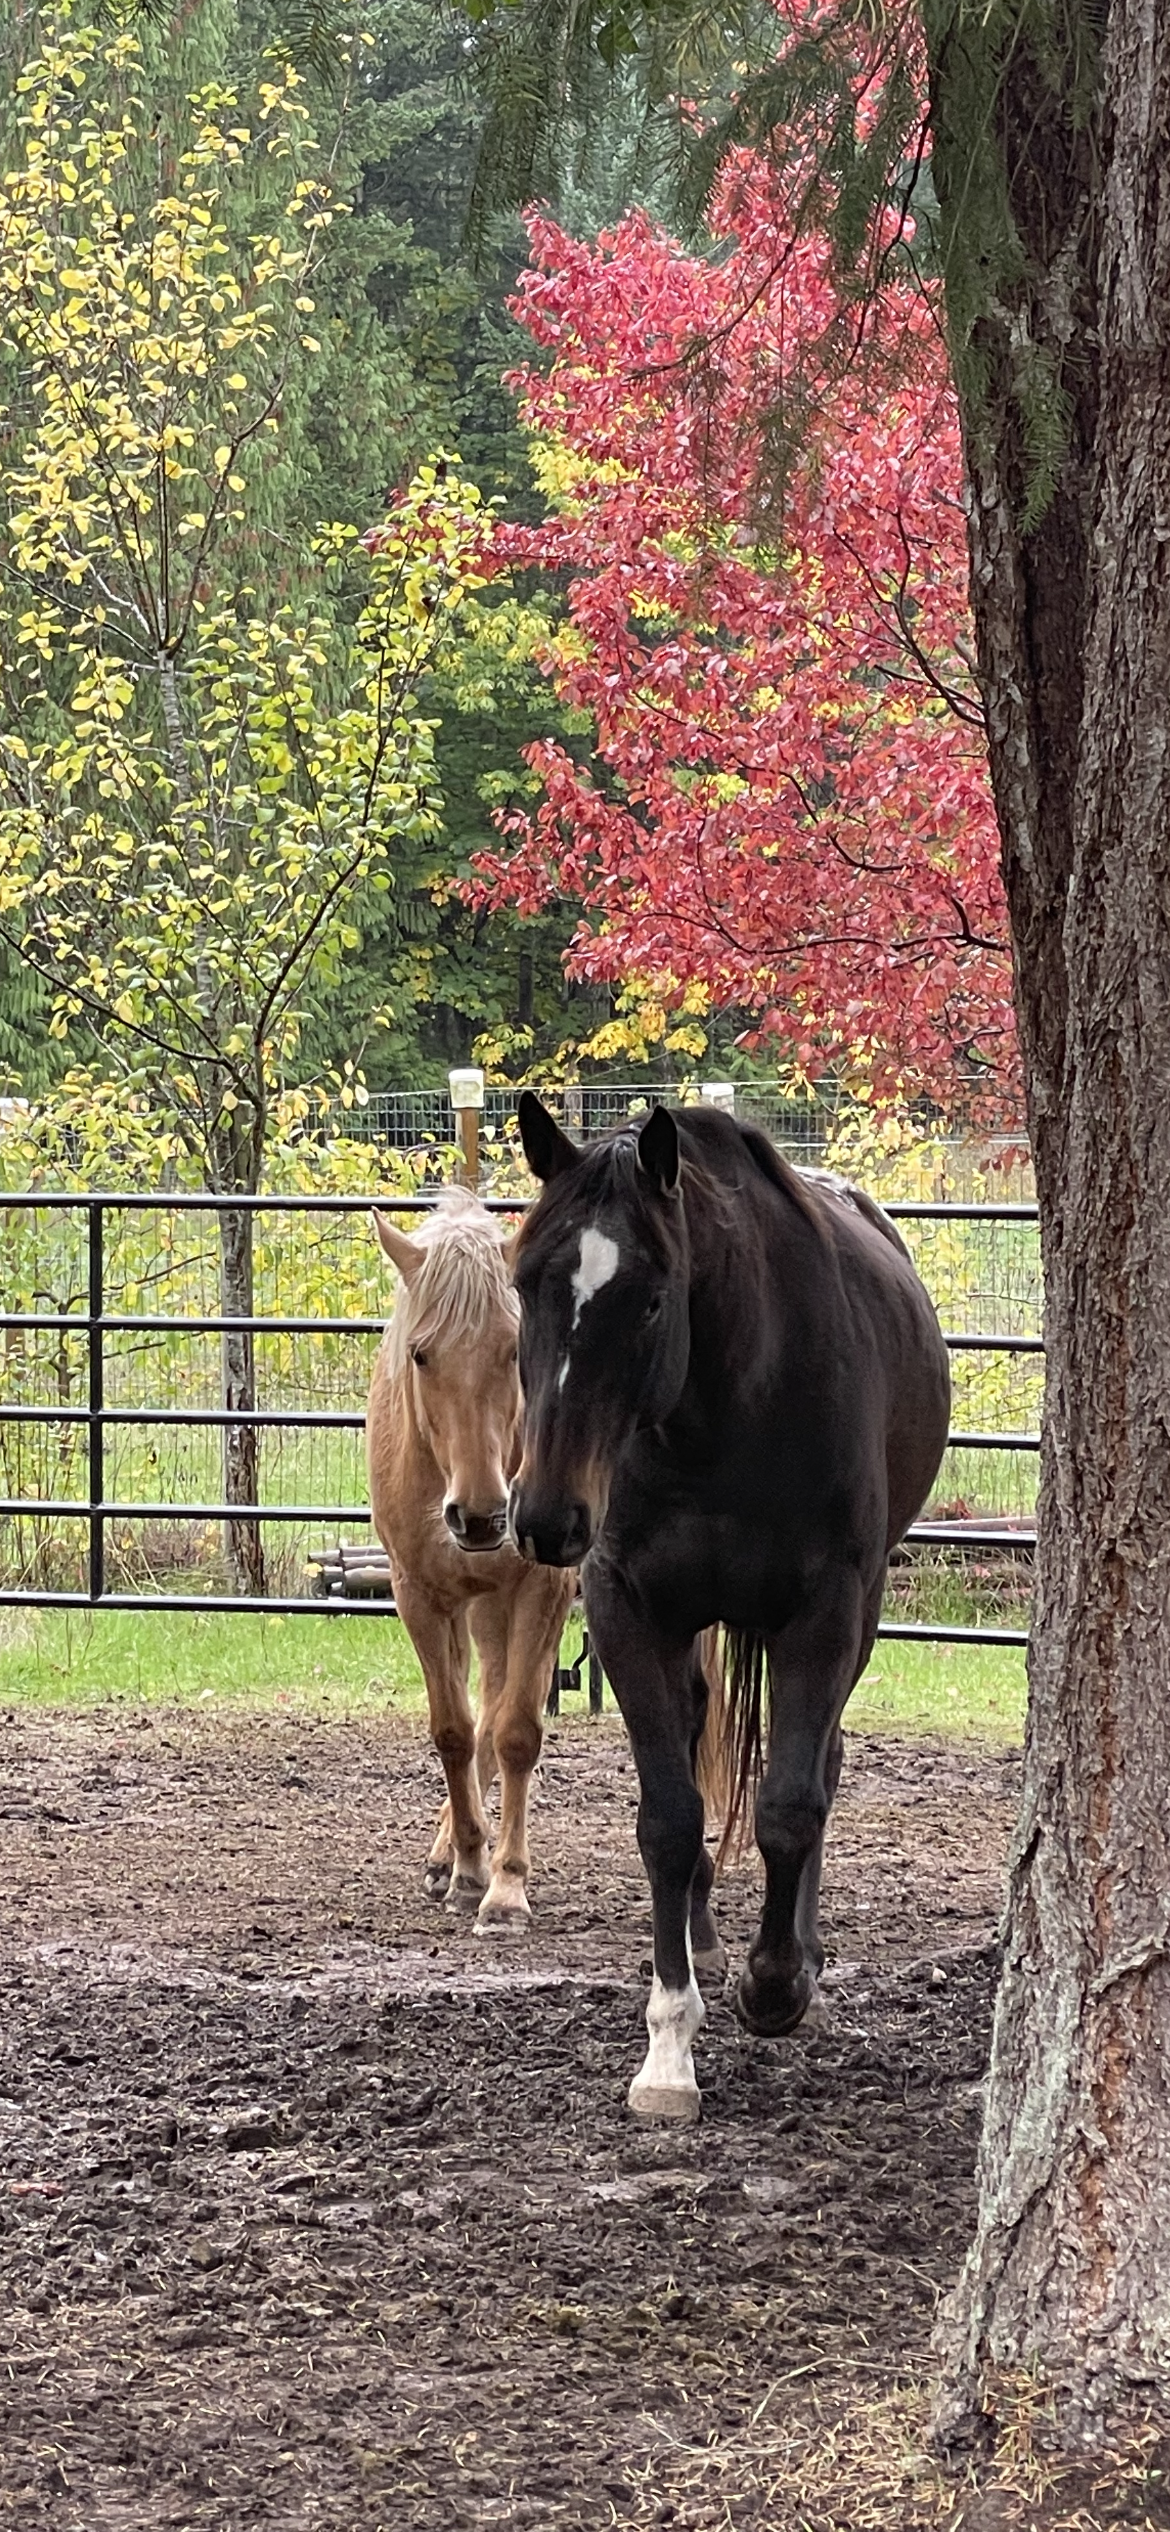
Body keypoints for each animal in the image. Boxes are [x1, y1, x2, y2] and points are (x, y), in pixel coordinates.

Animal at [367, 1189, 576, 1935]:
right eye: (421, 1355)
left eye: (515, 1350)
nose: (482, 1517)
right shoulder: (420, 1596)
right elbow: (457, 1730)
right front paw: (464, 1866)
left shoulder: (545, 1588)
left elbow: (516, 1732)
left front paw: (507, 1886)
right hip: (485, 1606)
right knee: (485, 1700)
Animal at [509, 1094, 951, 2119]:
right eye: (521, 1286)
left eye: (652, 1298)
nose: (547, 1518)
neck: (726, 1413)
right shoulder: (629, 1609)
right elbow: (669, 1818)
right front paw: (669, 2044)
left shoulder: (825, 1613)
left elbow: (791, 1803)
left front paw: (779, 1984)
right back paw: (707, 1941)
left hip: (857, 1618)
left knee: (821, 1765)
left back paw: (798, 1962)